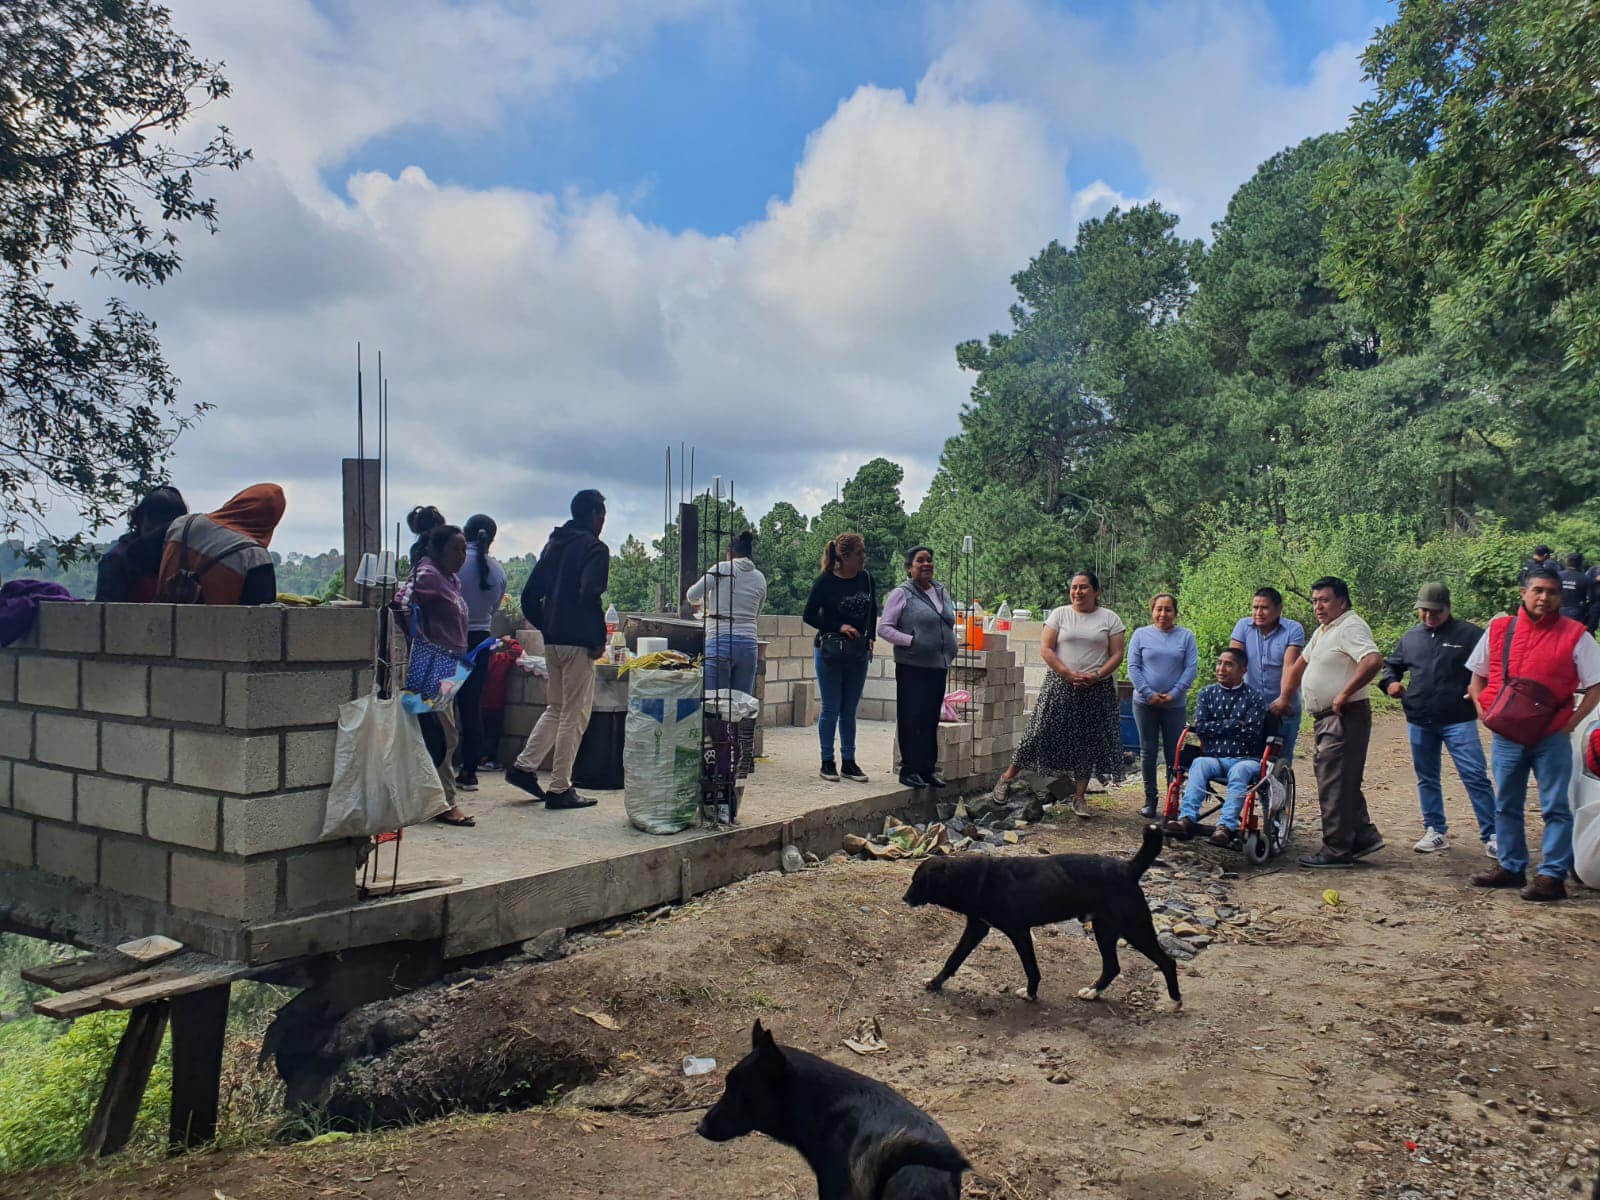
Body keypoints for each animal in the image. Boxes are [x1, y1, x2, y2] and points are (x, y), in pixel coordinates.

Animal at [908, 825, 1184, 1011]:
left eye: (918, 882)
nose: (904, 897)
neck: (970, 878)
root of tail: (1128, 868)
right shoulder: (977, 928)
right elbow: (954, 958)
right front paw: (935, 982)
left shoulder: (1018, 931)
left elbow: (1031, 967)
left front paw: (1031, 993)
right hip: (1105, 930)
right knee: (1112, 966)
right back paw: (1093, 992)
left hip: (1134, 928)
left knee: (1167, 961)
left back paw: (1175, 1000)